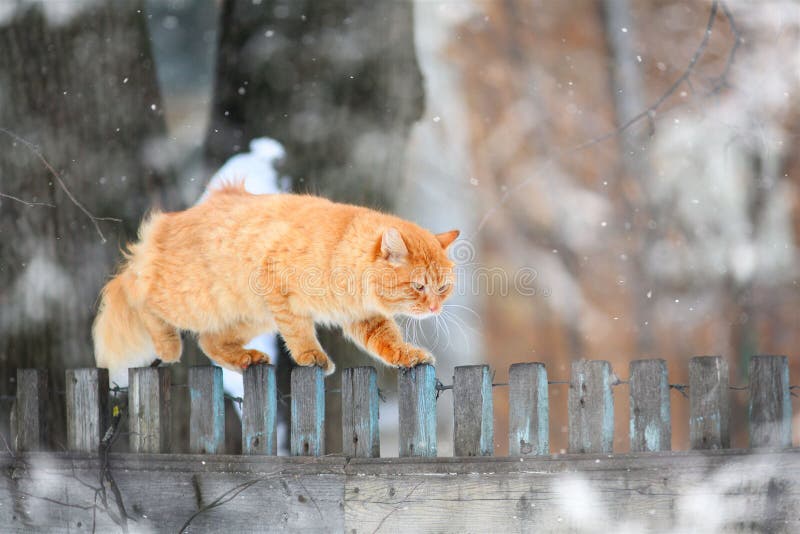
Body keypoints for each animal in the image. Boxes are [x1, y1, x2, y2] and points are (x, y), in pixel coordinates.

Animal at [92, 184, 456, 386]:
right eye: (419, 287)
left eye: (442, 288)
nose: (435, 308)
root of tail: (165, 224)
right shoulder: (281, 292)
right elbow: (299, 333)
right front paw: (312, 356)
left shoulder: (363, 317)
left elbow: (389, 341)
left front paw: (409, 355)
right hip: (189, 300)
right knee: (138, 293)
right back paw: (168, 346)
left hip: (250, 317)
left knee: (210, 341)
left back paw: (247, 358)